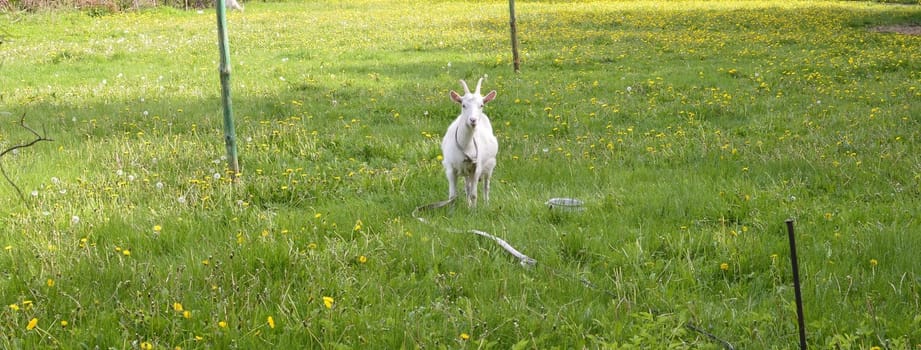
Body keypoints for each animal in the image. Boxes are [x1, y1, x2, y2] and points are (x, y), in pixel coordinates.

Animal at [442, 77, 500, 206]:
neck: (465, 146)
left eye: (481, 105)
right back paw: (467, 205)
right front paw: (452, 210)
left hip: (490, 165)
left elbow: (474, 195)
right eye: (463, 105)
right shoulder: (450, 168)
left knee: (486, 186)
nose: (473, 120)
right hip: (466, 171)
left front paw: (474, 210)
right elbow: (452, 196)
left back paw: (486, 204)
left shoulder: (476, 168)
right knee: (467, 187)